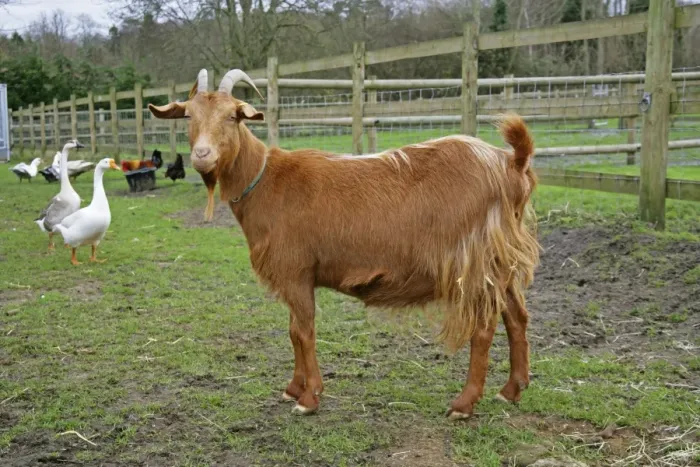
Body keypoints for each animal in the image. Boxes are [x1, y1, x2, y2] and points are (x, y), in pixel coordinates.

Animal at [149, 69, 541, 419]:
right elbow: (293, 331)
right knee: (517, 315)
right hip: (499, 261)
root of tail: (511, 163)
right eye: (189, 115)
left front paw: (309, 397)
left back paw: (464, 403)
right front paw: (294, 387)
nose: (202, 155)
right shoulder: (294, 277)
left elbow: (303, 331)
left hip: (473, 262)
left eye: (233, 115)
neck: (266, 181)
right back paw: (512, 389)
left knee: (484, 327)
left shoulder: (297, 271)